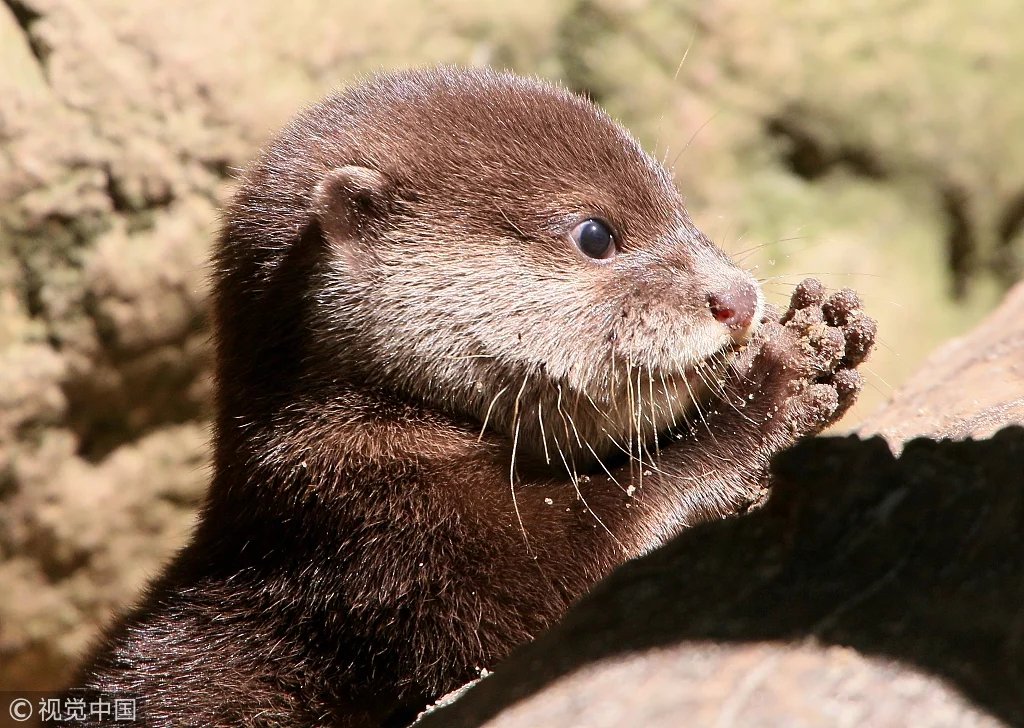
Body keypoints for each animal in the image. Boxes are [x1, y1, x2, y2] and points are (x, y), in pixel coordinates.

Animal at [70, 67, 875, 726]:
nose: (737, 298)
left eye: (682, 208)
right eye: (595, 234)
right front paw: (777, 380)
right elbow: (586, 572)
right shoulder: (388, 544)